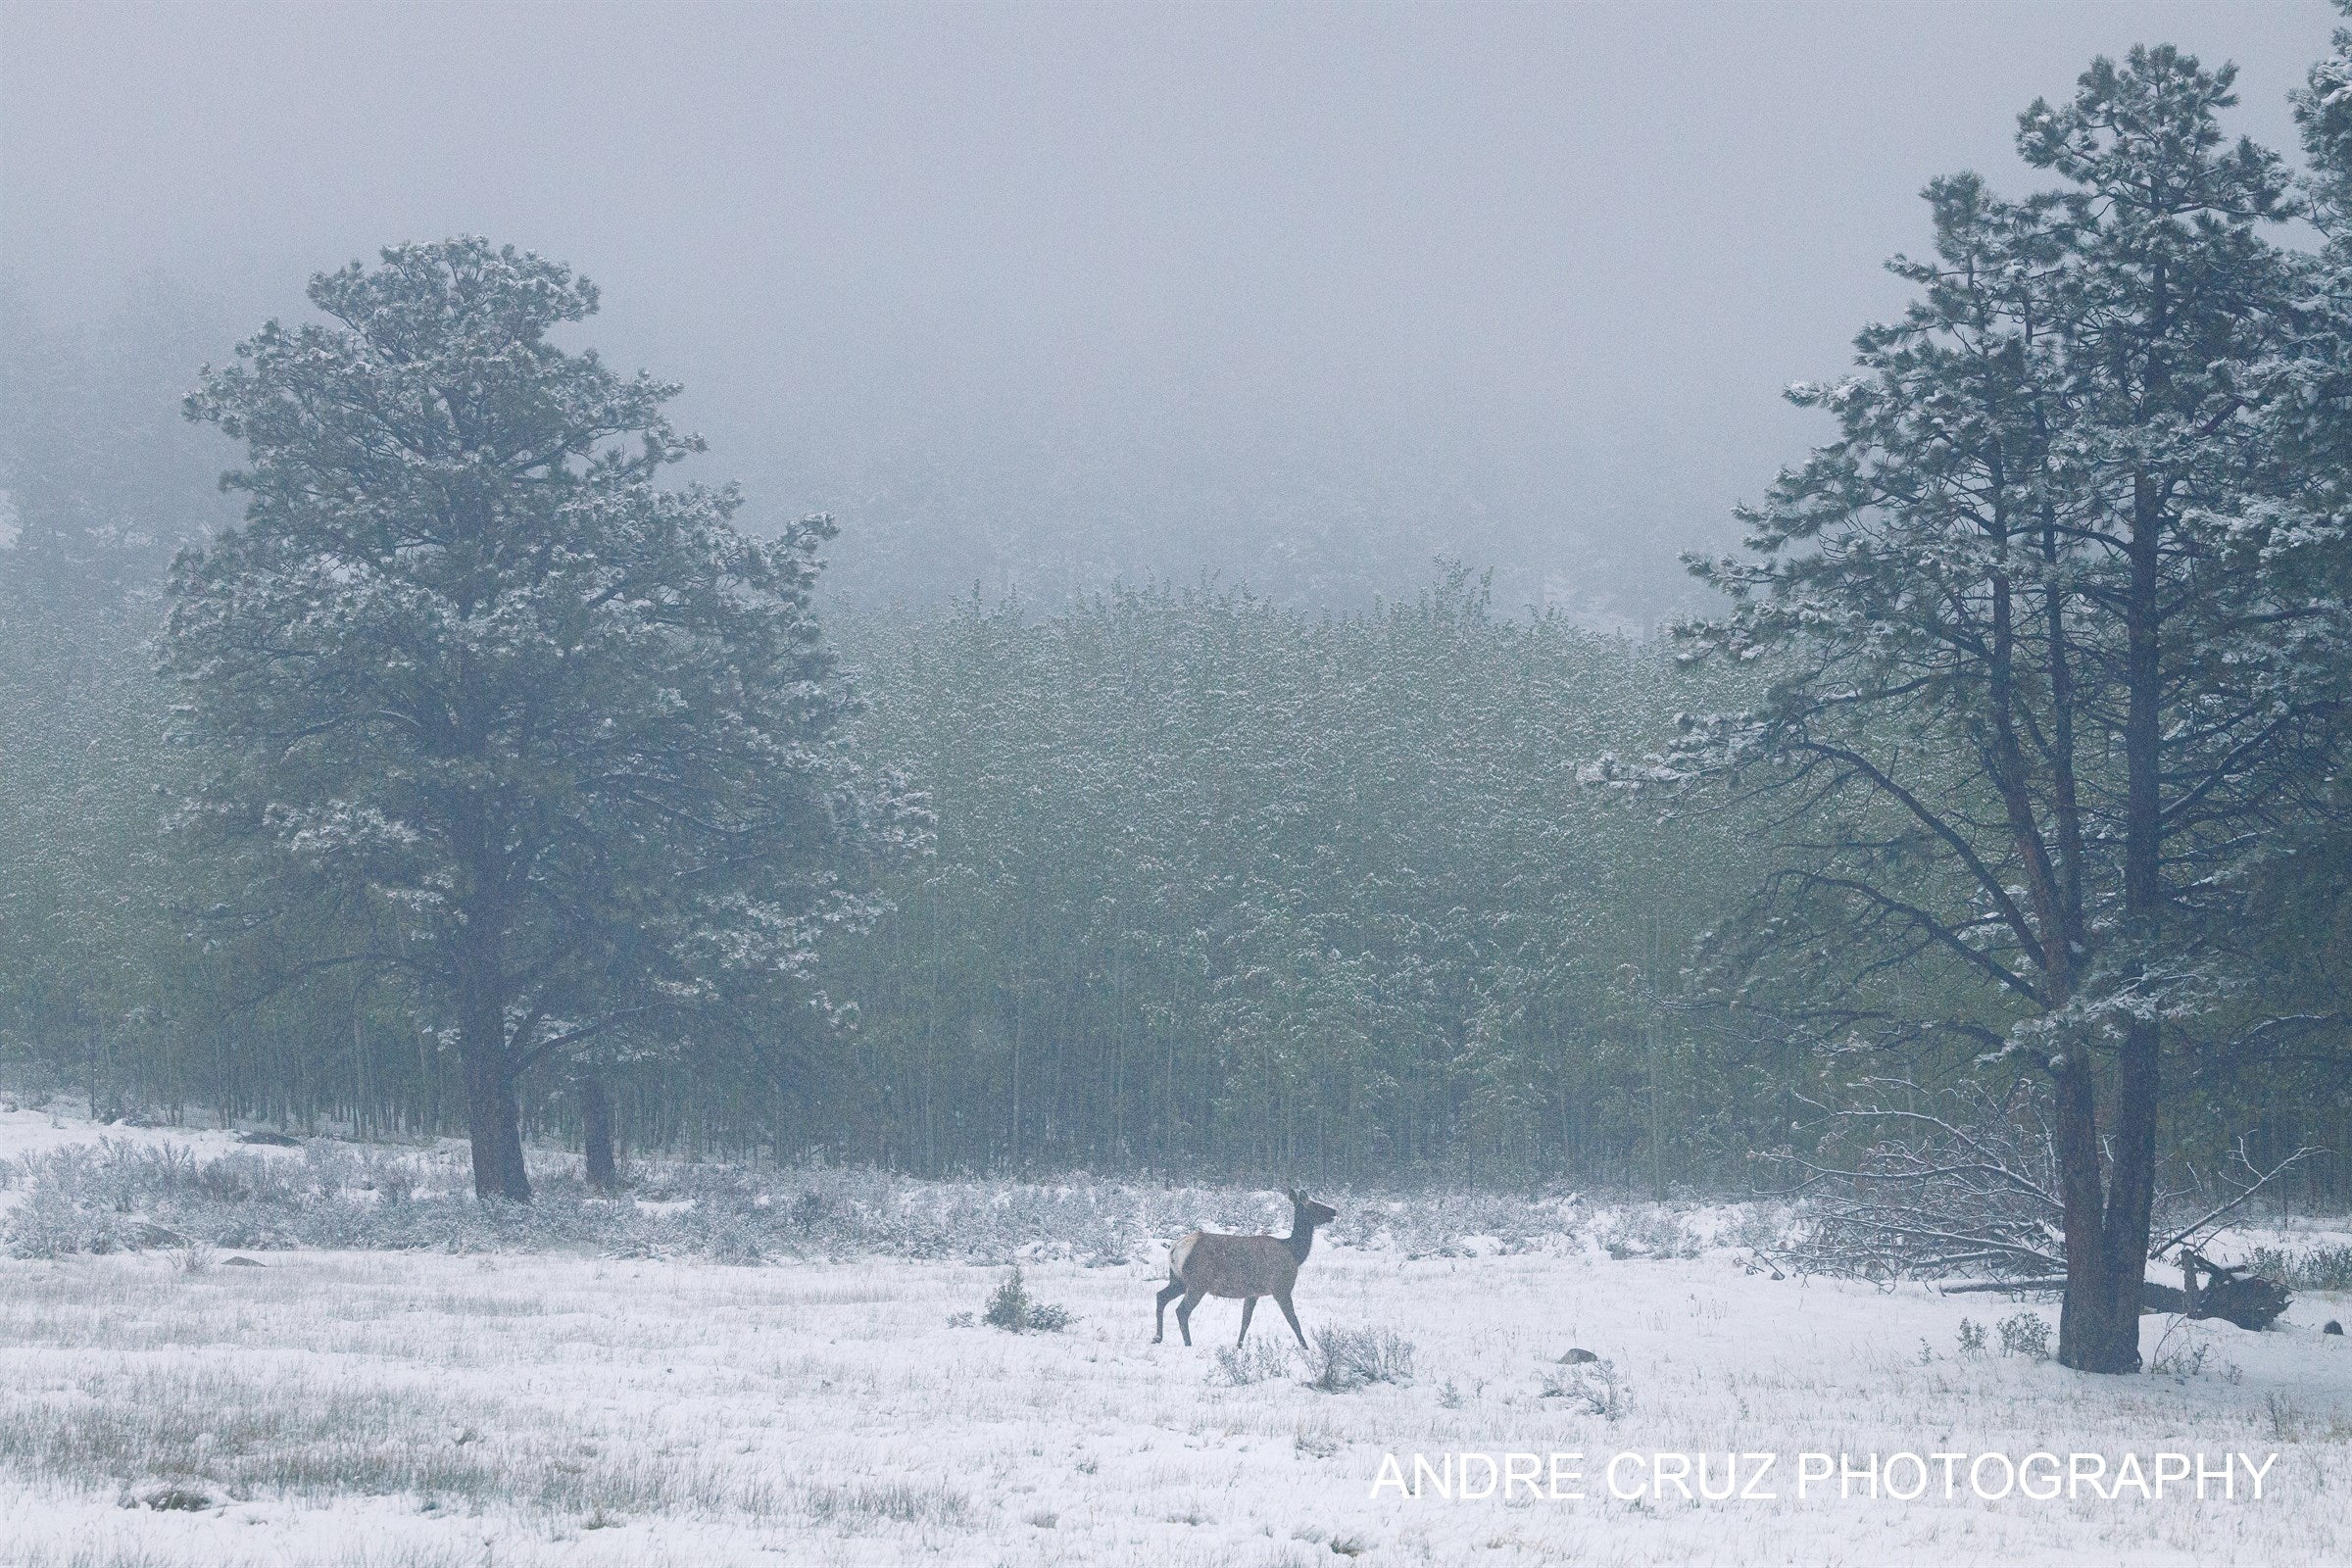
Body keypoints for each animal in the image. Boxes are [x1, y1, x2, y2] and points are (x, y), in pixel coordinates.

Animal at [1153, 1188, 1338, 1349]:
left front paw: (1239, 1346)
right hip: (1198, 1282)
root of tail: (1175, 1248)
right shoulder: (1281, 1287)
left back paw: (1157, 1337)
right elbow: (1293, 1321)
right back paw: (1188, 1343)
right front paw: (1306, 1348)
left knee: (1161, 1296)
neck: (1294, 1253)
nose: (1334, 1211)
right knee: (1182, 1310)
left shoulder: (1252, 1293)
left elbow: (1245, 1321)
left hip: (1178, 1280)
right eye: (1314, 1205)